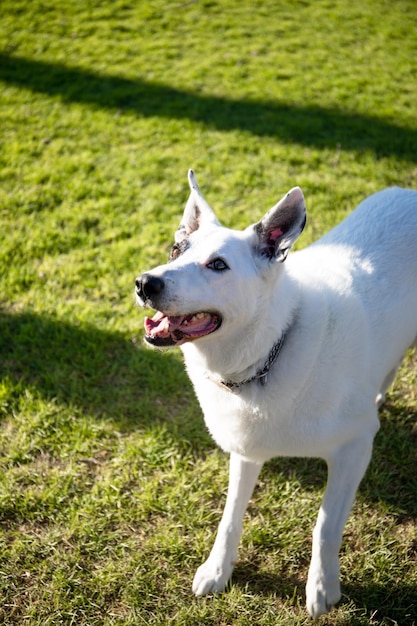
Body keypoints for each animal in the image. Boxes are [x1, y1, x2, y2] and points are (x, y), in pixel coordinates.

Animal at [135, 171, 414, 616]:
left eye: (218, 265)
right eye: (176, 250)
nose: (145, 283)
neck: (269, 351)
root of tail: (408, 193)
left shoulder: (355, 448)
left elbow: (325, 524)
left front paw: (323, 587)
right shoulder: (247, 451)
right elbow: (230, 517)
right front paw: (217, 570)